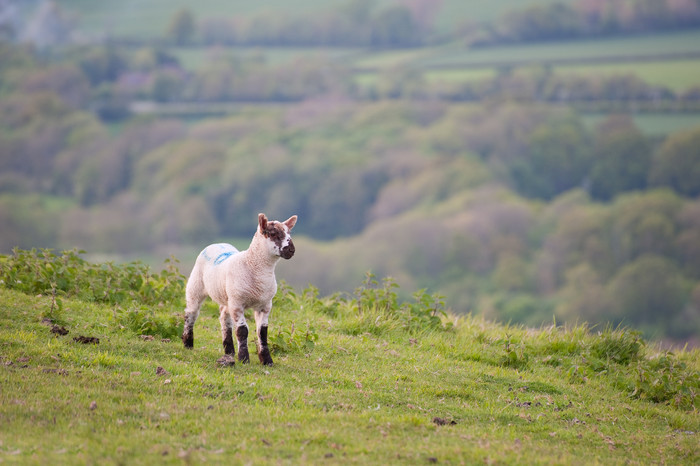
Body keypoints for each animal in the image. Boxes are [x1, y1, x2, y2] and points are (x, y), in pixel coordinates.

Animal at [180, 213, 296, 366]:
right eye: (273, 233)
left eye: (289, 233)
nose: (291, 250)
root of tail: (217, 243)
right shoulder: (237, 303)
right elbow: (242, 331)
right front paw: (244, 359)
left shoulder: (265, 305)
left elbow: (263, 332)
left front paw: (267, 360)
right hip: (196, 285)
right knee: (191, 313)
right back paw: (188, 343)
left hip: (227, 296)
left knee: (224, 317)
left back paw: (229, 350)